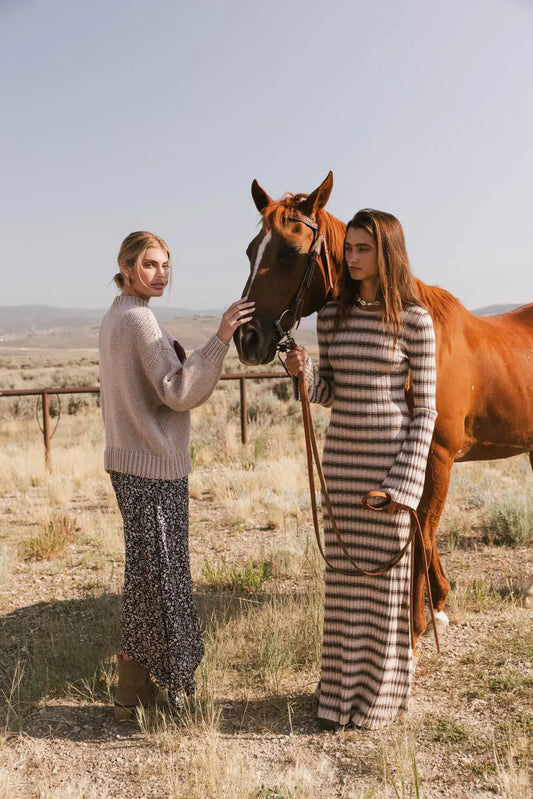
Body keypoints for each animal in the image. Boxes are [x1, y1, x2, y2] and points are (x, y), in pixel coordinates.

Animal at [235, 172, 532, 648]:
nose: (247, 339)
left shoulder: (437, 457)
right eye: (251, 251)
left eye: (292, 252)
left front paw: (418, 623)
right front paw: (438, 603)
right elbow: (421, 532)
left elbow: (421, 531)